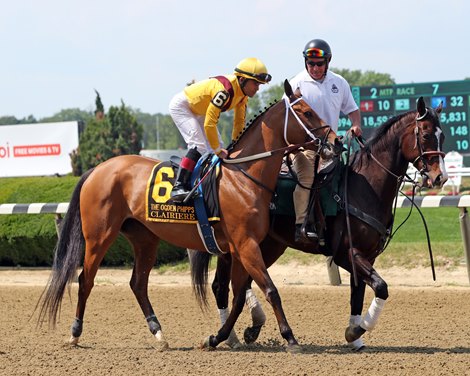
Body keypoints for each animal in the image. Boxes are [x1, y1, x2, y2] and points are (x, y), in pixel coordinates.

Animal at [38, 79, 340, 352]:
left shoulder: (241, 248)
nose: (335, 142)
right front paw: (290, 338)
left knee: (138, 284)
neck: (244, 177)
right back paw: (75, 333)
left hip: (145, 238)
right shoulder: (246, 245)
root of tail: (97, 169)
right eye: (306, 112)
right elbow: (270, 290)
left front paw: (221, 337)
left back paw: (159, 334)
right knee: (85, 280)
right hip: (99, 236)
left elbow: (238, 294)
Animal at [190, 96, 448, 350]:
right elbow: (381, 287)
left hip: (268, 246)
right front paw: (356, 330)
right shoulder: (347, 253)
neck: (363, 189)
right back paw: (231, 335)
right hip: (236, 247)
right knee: (221, 286)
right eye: (426, 134)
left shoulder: (367, 256)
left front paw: (355, 335)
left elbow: (359, 295)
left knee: (243, 284)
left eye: (442, 135)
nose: (440, 177)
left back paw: (248, 329)